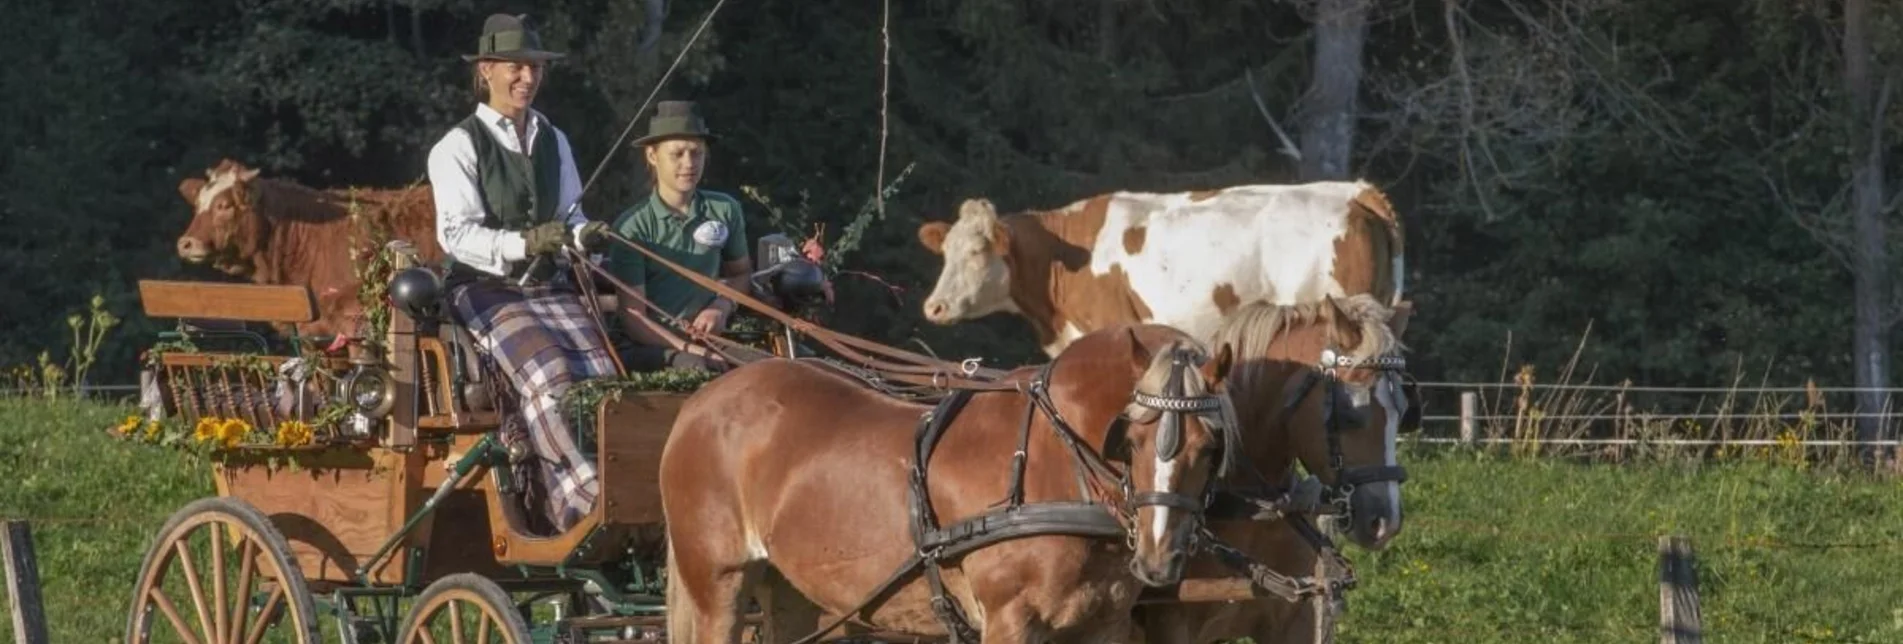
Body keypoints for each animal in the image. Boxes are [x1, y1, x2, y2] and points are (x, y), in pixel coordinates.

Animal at [666, 323, 1248, 640]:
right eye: (1129, 441)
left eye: (1211, 447)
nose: (1158, 559)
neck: (1052, 463)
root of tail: (701, 401)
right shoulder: (1010, 621)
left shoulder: (1103, 625)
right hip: (718, 585)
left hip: (788, 589)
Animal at [1126, 293, 1415, 644]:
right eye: (1350, 411)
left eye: (1404, 410)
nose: (1385, 522)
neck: (1250, 512)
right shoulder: (1174, 626)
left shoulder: (1295, 621)